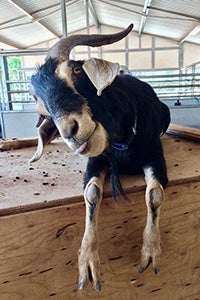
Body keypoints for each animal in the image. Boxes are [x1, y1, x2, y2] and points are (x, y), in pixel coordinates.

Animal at [29, 24, 170, 292]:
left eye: (75, 70)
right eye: (45, 110)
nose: (70, 131)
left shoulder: (154, 155)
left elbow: (155, 194)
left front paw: (151, 251)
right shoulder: (96, 161)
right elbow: (92, 193)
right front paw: (87, 261)